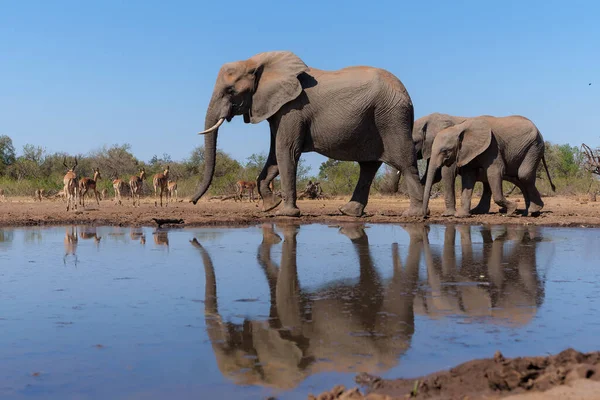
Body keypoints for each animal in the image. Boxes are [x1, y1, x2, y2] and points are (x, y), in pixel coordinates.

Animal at [191, 52, 422, 219]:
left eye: (230, 91)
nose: (192, 202)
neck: (256, 61)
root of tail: (407, 94)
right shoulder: (278, 109)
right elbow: (274, 155)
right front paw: (270, 207)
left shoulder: (293, 108)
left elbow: (285, 151)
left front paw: (285, 214)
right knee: (368, 166)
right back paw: (348, 212)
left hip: (392, 118)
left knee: (404, 162)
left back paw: (414, 215)